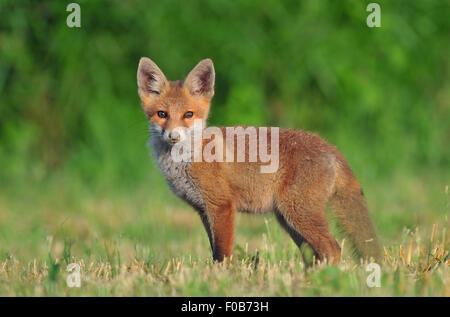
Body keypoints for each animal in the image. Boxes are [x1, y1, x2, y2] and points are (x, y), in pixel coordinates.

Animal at [138, 57, 384, 264]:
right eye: (162, 114)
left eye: (188, 114)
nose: (173, 136)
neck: (186, 160)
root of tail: (330, 146)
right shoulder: (203, 210)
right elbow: (213, 249)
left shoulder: (222, 206)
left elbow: (222, 253)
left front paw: (223, 276)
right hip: (288, 219)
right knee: (313, 253)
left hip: (298, 213)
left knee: (332, 249)